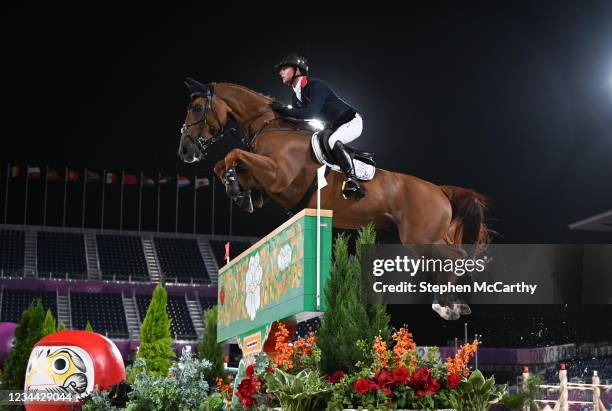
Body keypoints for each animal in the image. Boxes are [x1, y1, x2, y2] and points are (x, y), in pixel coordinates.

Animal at [178, 79, 492, 320]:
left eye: (196, 108)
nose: (185, 152)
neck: (270, 127)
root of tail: (439, 190)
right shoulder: (269, 185)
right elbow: (226, 165)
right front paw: (237, 189)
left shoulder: (280, 178)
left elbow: (232, 154)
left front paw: (233, 182)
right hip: (419, 237)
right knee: (453, 259)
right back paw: (456, 304)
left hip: (419, 237)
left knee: (457, 257)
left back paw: (445, 306)